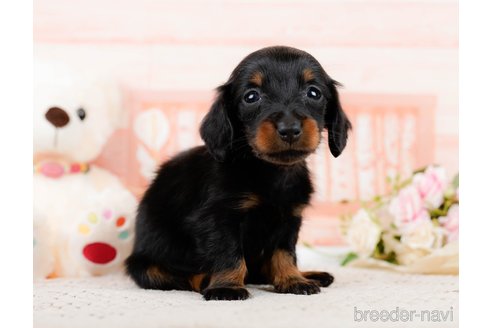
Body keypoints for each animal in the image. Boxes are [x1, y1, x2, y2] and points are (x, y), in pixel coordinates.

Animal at [125, 45, 352, 300]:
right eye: (251, 96)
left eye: (314, 93)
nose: (289, 129)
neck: (269, 171)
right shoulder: (220, 217)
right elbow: (229, 253)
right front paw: (227, 286)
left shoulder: (289, 217)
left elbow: (284, 253)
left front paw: (293, 280)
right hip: (146, 266)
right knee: (178, 275)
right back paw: (206, 280)